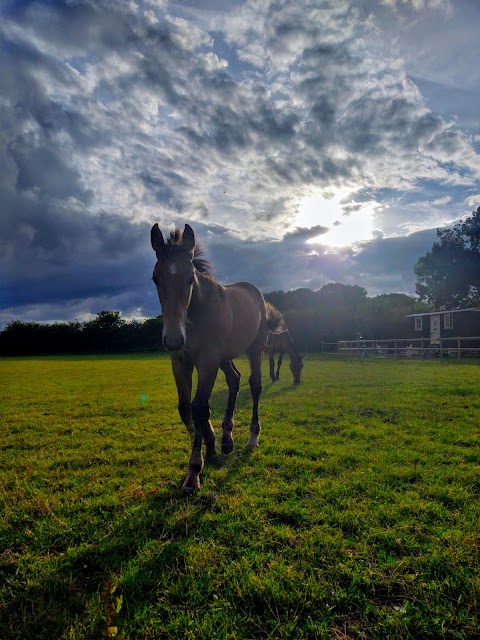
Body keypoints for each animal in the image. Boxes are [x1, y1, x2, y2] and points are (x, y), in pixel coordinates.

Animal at [151, 222, 282, 492]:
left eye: (190, 278)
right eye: (155, 278)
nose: (173, 339)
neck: (195, 316)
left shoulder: (207, 361)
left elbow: (199, 407)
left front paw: (193, 473)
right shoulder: (180, 362)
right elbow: (186, 408)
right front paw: (210, 447)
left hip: (254, 349)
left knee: (254, 385)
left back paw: (252, 438)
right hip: (224, 357)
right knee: (234, 379)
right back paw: (226, 439)